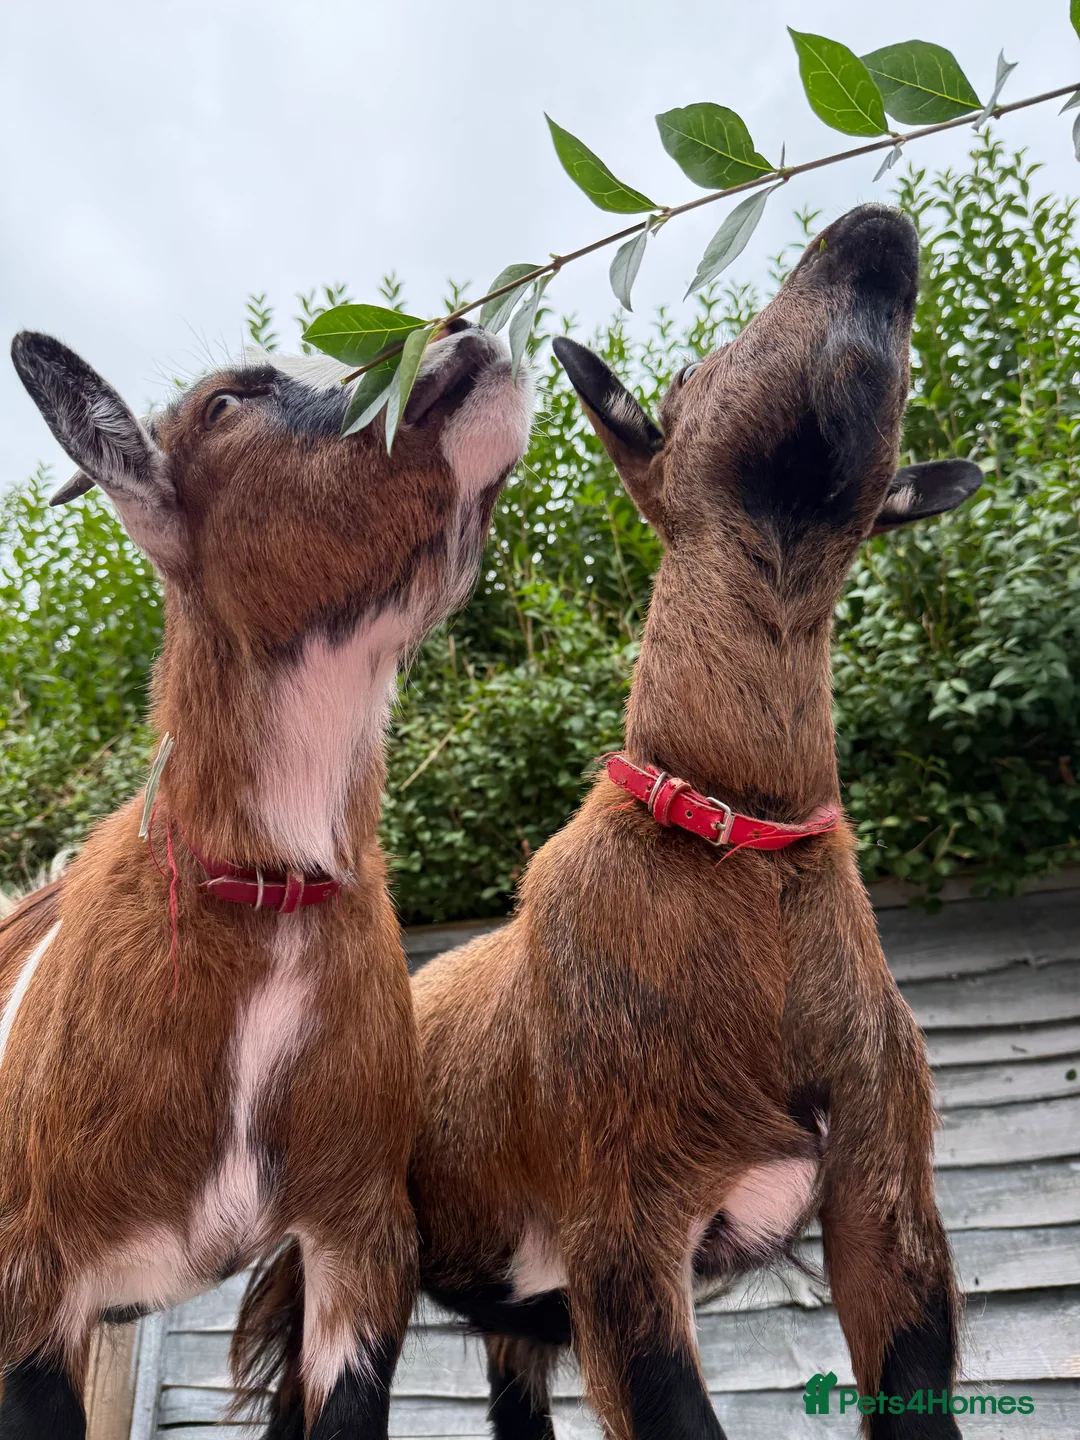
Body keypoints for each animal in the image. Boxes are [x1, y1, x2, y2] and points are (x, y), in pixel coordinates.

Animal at [236, 204, 984, 1438]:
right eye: (689, 372)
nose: (871, 229)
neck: (738, 843)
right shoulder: (623, 1226)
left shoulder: (888, 1203)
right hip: (333, 1261)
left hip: (511, 1302)